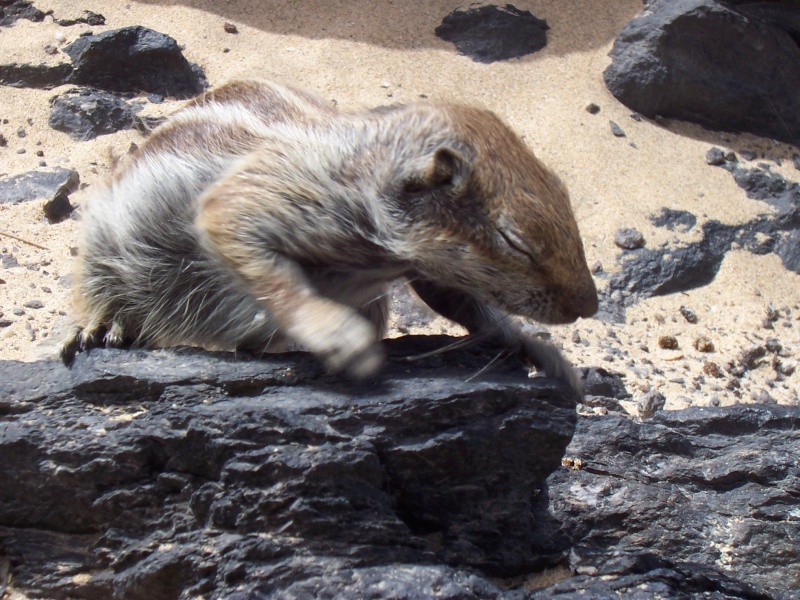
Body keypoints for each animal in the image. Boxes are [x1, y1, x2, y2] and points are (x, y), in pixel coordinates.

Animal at [61, 77, 592, 392]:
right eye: (515, 241)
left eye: (566, 196)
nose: (589, 305)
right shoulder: (259, 199)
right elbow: (267, 266)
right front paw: (335, 334)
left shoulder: (431, 269)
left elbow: (472, 309)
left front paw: (542, 352)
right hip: (106, 235)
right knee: (98, 287)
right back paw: (102, 325)